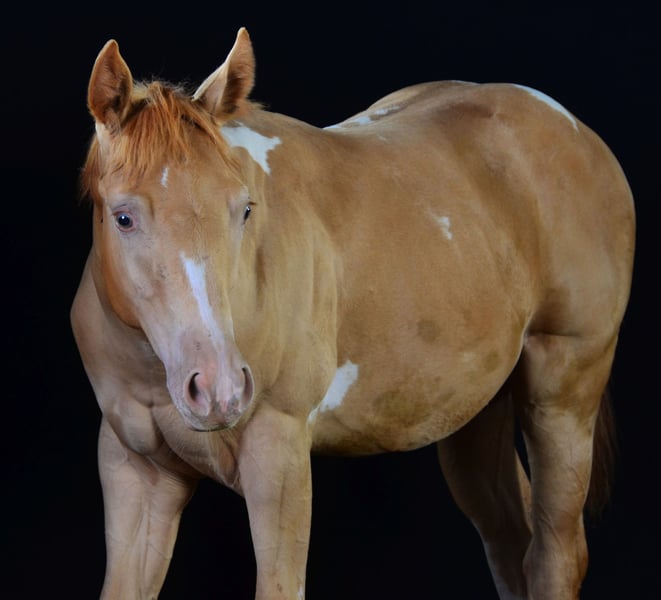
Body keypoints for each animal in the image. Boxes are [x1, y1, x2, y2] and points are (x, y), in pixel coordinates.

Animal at [71, 27, 635, 599]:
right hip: (474, 413)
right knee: (509, 541)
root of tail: (576, 132)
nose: (218, 388)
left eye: (244, 209)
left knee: (553, 555)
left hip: (563, 394)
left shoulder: (279, 457)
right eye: (123, 217)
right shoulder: (135, 470)